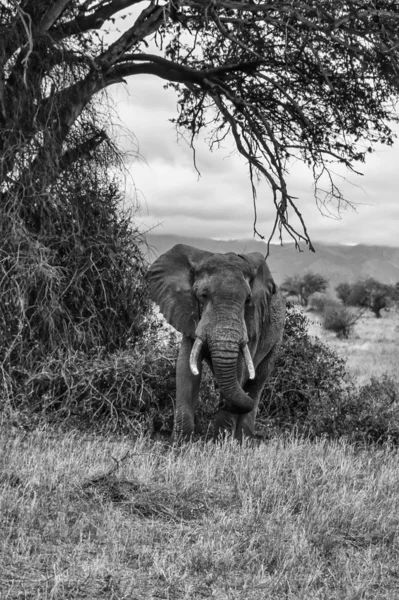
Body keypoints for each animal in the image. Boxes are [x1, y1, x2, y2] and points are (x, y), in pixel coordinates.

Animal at [148, 244, 286, 440]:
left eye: (248, 300)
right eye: (203, 295)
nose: (221, 403)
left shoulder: (252, 325)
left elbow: (240, 369)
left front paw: (220, 442)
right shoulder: (189, 314)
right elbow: (185, 368)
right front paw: (181, 442)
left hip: (276, 339)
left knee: (257, 383)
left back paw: (243, 440)